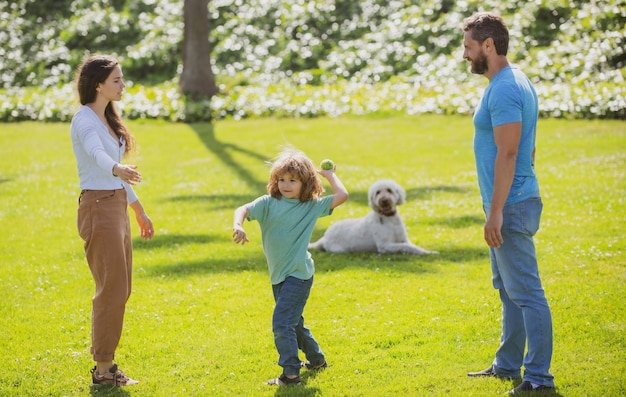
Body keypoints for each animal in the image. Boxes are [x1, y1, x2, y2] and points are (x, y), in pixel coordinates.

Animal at [308, 179, 436, 254]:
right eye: (378, 192)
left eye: (389, 190)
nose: (384, 201)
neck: (389, 219)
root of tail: (324, 237)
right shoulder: (385, 246)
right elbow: (407, 247)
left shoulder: (403, 239)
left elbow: (411, 246)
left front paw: (427, 251)